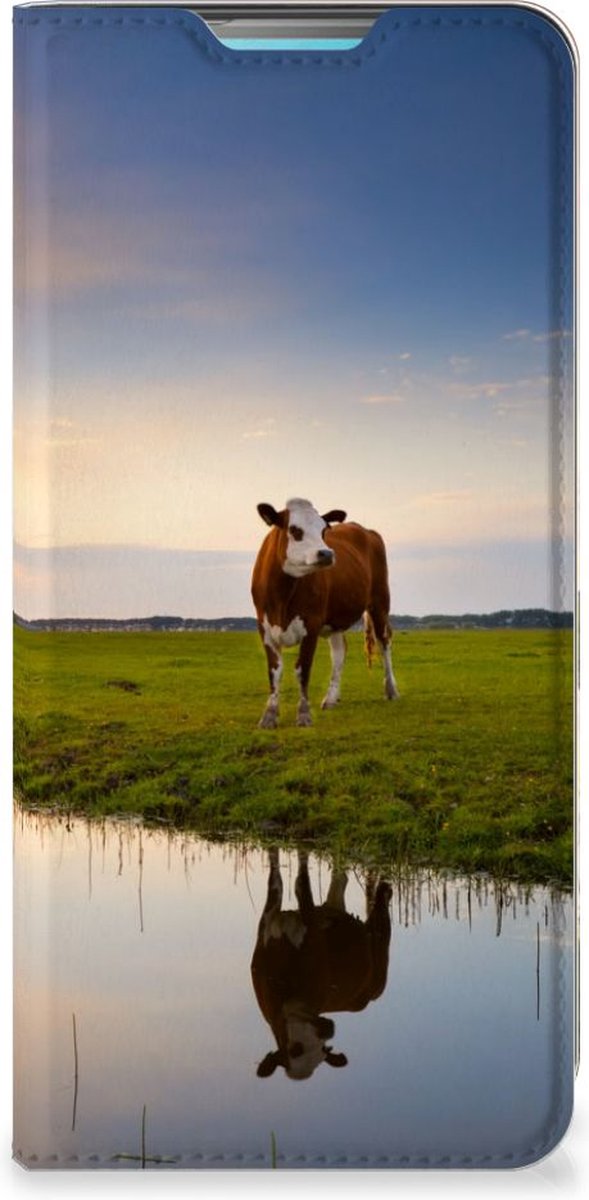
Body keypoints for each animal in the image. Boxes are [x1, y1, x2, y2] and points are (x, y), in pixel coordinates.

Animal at [251, 497, 399, 727]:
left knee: (384, 642)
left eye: (323, 530)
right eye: (294, 530)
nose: (327, 553)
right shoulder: (264, 627)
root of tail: (365, 530)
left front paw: (304, 714)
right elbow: (274, 671)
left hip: (380, 602)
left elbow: (302, 669)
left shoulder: (311, 625)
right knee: (339, 651)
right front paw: (269, 715)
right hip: (336, 619)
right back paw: (331, 698)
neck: (281, 596)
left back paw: (391, 689)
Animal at [251, 848, 392, 1081]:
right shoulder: (267, 923)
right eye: (295, 1050)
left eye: (323, 1050)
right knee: (340, 879)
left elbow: (301, 884)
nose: (328, 1029)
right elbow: (276, 878)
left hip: (380, 956)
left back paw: (384, 887)